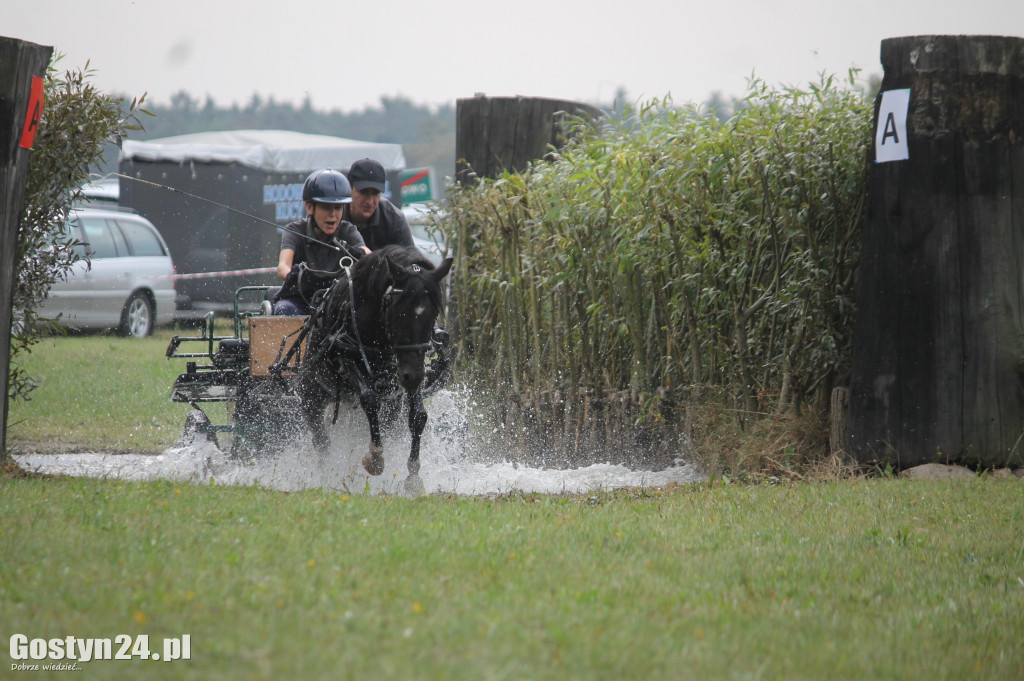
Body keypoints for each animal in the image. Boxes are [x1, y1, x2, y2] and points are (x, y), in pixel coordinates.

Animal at [299, 242, 454, 473]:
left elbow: (418, 415)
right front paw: (375, 457)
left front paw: (413, 471)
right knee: (322, 442)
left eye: (434, 313)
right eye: (399, 313)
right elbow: (370, 399)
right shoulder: (346, 357)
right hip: (311, 399)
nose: (414, 377)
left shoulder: (406, 370)